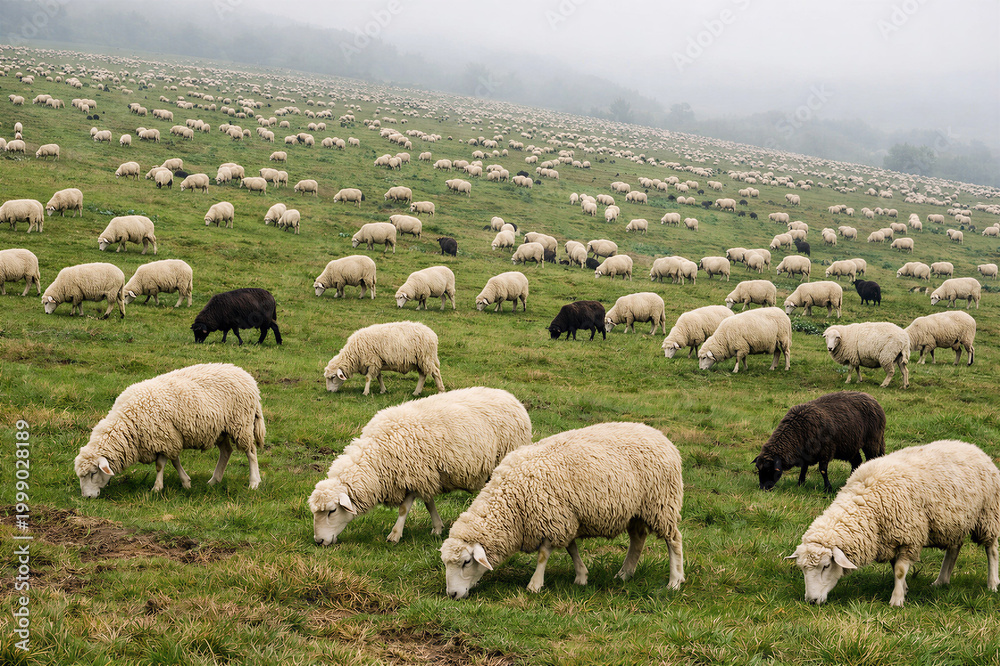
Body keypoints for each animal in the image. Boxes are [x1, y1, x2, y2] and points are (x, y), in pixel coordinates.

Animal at [75, 363, 264, 497]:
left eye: (93, 473)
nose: (87, 497)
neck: (127, 420)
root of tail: (247, 377)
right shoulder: (169, 438)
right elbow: (174, 460)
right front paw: (186, 482)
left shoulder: (164, 437)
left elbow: (160, 465)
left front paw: (157, 488)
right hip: (220, 429)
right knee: (226, 451)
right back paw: (213, 481)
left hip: (241, 423)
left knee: (251, 452)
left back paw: (254, 482)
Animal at [311, 386, 529, 546]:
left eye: (332, 511)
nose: (319, 541)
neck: (377, 455)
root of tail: (512, 398)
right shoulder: (424, 476)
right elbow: (428, 502)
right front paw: (437, 528)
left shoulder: (414, 474)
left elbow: (403, 509)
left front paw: (395, 535)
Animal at [441, 422, 683, 598]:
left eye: (466, 562)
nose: (452, 595)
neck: (512, 500)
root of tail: (661, 437)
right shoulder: (565, 517)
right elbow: (571, 548)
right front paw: (581, 577)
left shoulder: (552, 517)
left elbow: (543, 555)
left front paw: (535, 585)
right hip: (636, 511)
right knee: (638, 539)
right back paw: (625, 574)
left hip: (661, 504)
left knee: (673, 540)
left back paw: (674, 581)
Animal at [755, 391, 885, 492]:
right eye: (758, 469)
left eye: (769, 469)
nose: (763, 489)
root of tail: (874, 401)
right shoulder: (806, 454)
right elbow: (804, 468)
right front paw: (800, 484)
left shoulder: (825, 451)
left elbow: (822, 470)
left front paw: (828, 489)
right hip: (850, 445)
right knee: (857, 462)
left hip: (872, 441)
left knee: (872, 459)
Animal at [786, 439, 1000, 607]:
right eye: (802, 569)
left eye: (826, 566)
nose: (811, 601)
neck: (866, 500)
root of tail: (974, 448)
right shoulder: (889, 539)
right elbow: (894, 567)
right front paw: (904, 589)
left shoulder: (908, 537)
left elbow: (899, 570)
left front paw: (896, 600)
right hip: (955, 522)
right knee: (954, 549)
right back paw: (941, 581)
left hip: (987, 515)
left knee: (991, 550)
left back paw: (992, 584)